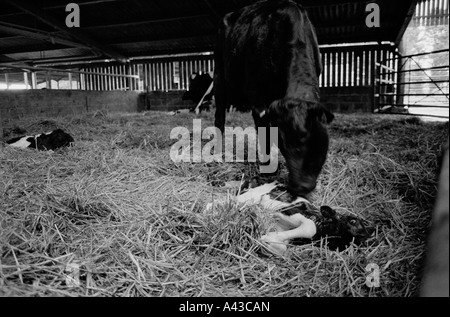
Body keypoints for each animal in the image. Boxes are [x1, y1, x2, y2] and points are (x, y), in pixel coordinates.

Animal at [214, 0, 334, 196]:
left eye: (318, 140)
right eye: (285, 143)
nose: (301, 186)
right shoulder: (256, 97)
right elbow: (264, 133)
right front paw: (269, 168)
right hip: (219, 76)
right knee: (219, 116)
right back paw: (217, 151)